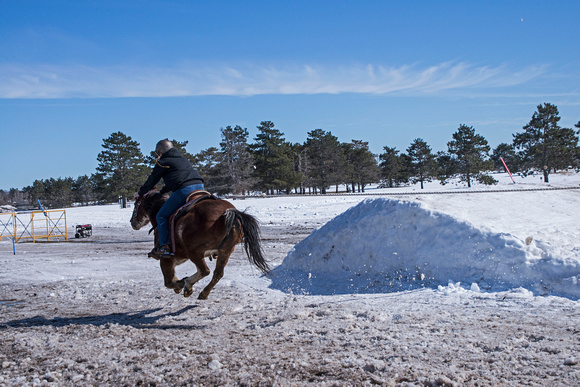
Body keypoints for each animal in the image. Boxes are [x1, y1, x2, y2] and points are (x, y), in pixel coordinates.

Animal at [129, 191, 270, 300]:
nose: (132, 222)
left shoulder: (166, 259)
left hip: (195, 252)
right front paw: (182, 284)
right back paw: (203, 293)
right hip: (226, 250)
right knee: (217, 273)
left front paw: (181, 284)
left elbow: (168, 282)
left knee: (205, 270)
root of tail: (228, 212)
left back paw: (188, 285)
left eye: (136, 205)